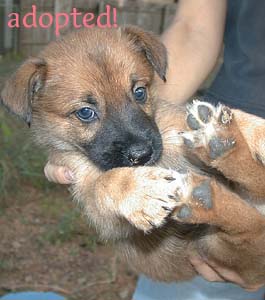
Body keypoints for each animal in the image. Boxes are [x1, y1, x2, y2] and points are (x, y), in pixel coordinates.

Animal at [1, 26, 264, 286]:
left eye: (139, 92)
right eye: (85, 112)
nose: (142, 154)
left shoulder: (174, 126)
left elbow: (234, 116)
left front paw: (257, 129)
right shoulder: (92, 199)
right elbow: (105, 182)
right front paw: (143, 190)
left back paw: (220, 141)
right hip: (215, 246)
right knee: (251, 226)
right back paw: (205, 189)